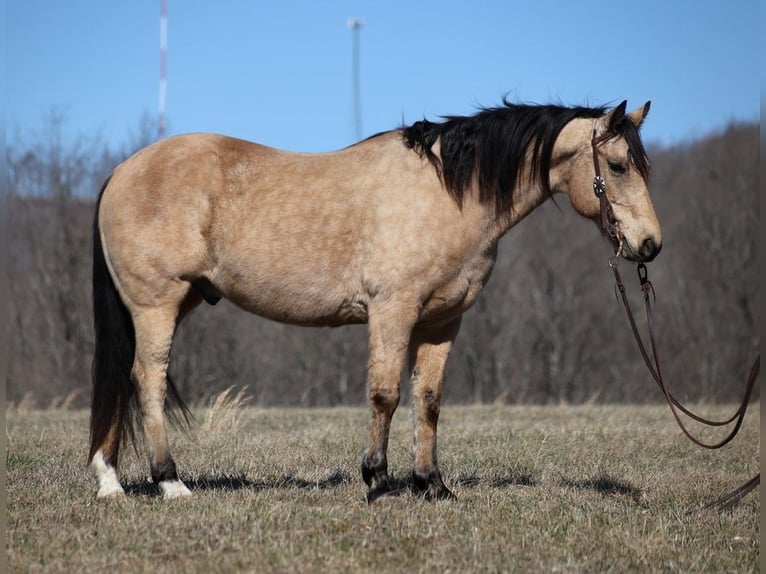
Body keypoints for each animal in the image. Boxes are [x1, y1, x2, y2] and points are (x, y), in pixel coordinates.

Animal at [90, 100, 664, 504]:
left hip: (176, 302)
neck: (446, 193)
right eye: (617, 165)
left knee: (124, 380)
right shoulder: (394, 312)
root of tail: (121, 171)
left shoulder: (442, 322)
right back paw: (170, 482)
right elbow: (385, 395)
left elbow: (427, 400)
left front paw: (432, 485)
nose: (650, 245)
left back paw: (110, 481)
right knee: (147, 379)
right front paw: (379, 482)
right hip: (157, 305)